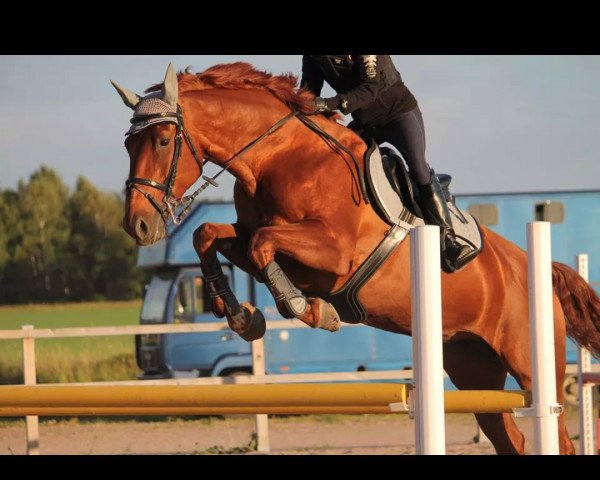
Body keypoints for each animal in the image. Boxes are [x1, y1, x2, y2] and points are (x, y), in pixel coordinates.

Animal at [112, 62, 600, 452]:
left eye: (161, 140)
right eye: (127, 145)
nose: (138, 225)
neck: (277, 158)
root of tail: (537, 269)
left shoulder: (335, 253)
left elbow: (261, 243)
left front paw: (308, 309)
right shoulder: (266, 243)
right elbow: (210, 235)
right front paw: (239, 315)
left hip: (534, 369)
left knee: (555, 433)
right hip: (473, 368)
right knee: (506, 435)